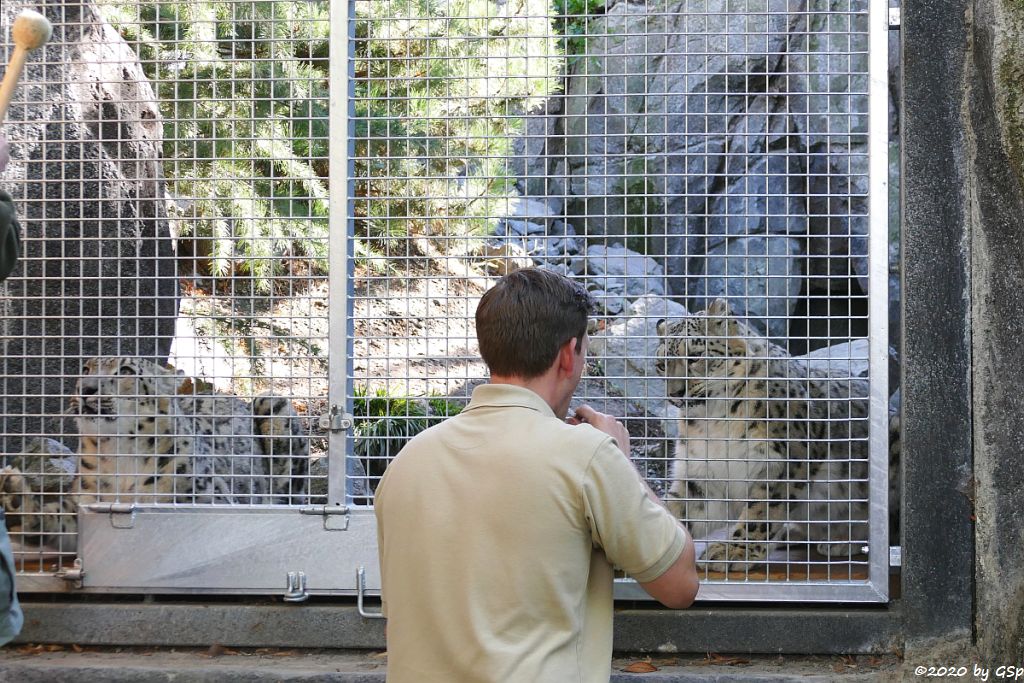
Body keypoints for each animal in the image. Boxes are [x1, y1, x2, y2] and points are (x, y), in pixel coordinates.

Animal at [0, 358, 307, 548]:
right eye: (85, 368)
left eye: (126, 371)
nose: (86, 388)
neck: (118, 455)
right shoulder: (84, 505)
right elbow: (57, 520)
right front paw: (15, 498)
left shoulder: (210, 498)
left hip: (272, 403)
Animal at [655, 299, 897, 573]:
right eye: (661, 364)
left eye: (694, 356)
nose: (675, 392)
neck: (713, 419)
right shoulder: (702, 473)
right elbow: (679, 508)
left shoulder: (783, 462)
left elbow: (762, 510)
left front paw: (734, 551)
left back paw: (842, 540)